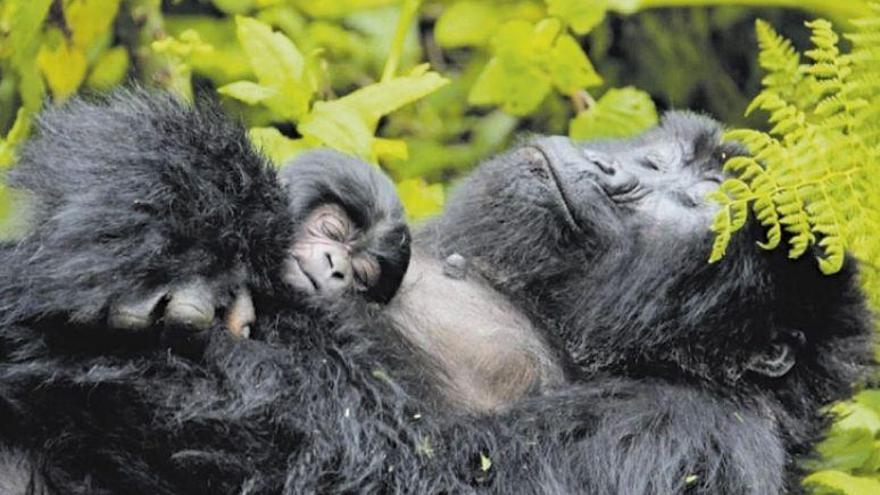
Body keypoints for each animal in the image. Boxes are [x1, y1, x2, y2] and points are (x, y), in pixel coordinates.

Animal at [0, 90, 872, 495]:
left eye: (706, 205)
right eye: (669, 154)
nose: (614, 172)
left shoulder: (691, 435)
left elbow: (416, 470)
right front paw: (175, 185)